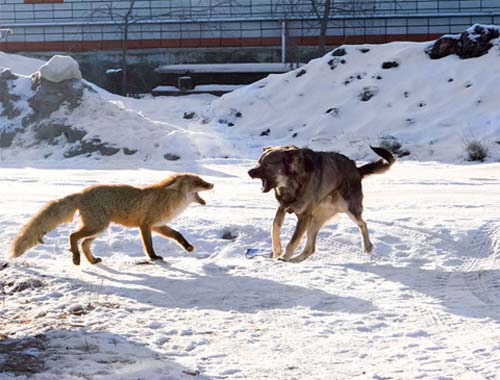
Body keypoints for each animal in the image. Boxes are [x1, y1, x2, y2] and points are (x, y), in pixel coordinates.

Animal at [9, 174, 213, 266]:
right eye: (198, 182)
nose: (211, 184)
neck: (167, 200)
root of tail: (81, 193)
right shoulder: (146, 225)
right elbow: (149, 245)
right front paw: (153, 257)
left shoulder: (158, 225)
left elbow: (178, 235)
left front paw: (188, 247)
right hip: (97, 226)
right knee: (73, 236)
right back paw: (76, 257)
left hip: (100, 228)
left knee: (84, 243)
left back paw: (92, 260)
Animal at [248, 144, 396, 262]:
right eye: (258, 162)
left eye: (266, 164)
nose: (249, 172)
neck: (293, 183)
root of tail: (356, 169)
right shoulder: (282, 208)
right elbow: (274, 229)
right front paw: (277, 252)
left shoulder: (304, 217)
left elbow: (293, 241)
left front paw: (283, 256)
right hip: (314, 221)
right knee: (310, 249)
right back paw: (295, 260)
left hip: (348, 209)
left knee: (363, 224)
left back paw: (367, 246)